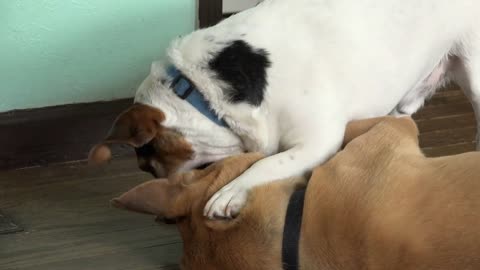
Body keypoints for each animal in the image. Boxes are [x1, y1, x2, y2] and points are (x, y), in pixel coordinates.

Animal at [92, 0, 478, 219]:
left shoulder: (316, 140)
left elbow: (268, 163)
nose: (149, 176)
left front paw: (231, 192)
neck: (201, 91)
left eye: (149, 160)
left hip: (473, 70)